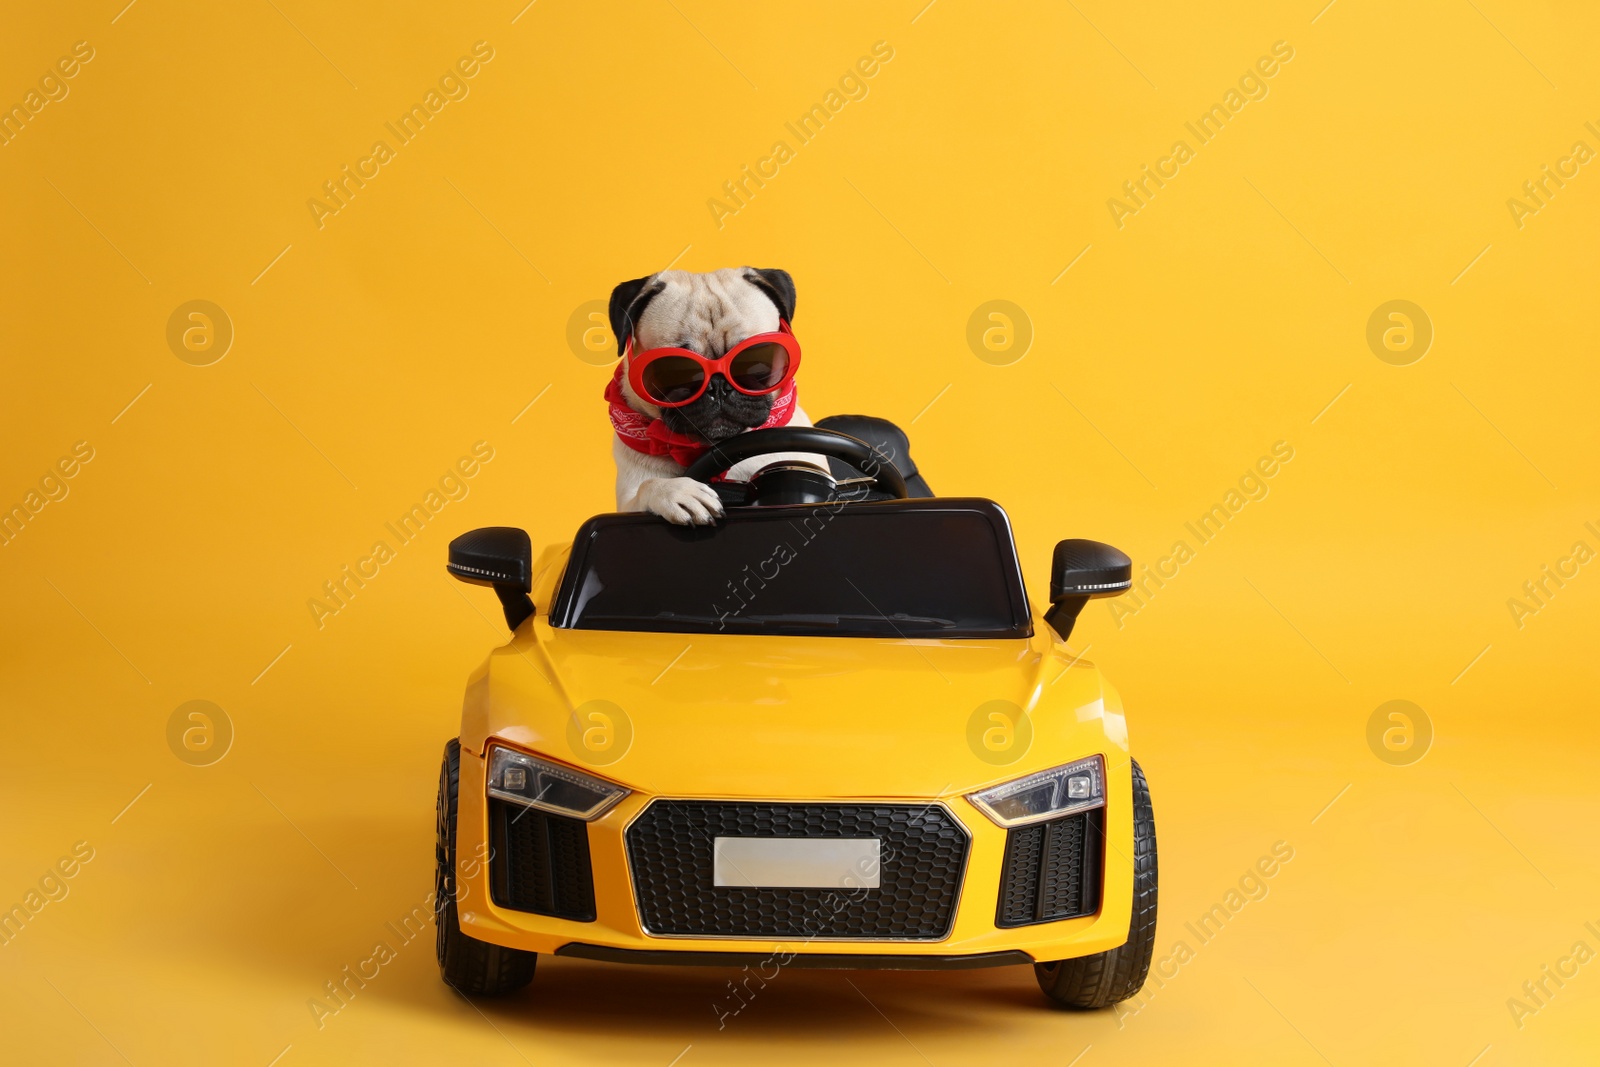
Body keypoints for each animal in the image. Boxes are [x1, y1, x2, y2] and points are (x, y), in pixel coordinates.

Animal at [601, 267, 819, 524]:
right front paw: (675, 491)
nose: (718, 386)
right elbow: (648, 486)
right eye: (673, 371)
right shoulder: (628, 501)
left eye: (755, 362)